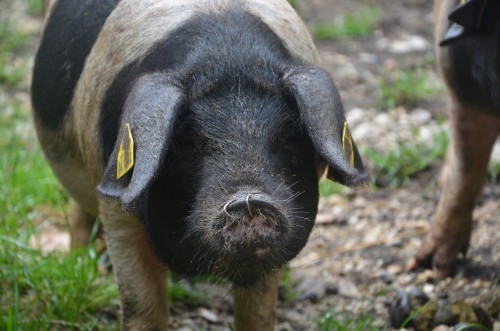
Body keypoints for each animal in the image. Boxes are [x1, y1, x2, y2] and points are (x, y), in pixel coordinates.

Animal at [31, 0, 368, 330]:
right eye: (190, 141)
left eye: (286, 136)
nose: (249, 200)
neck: (229, 59)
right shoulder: (116, 206)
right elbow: (143, 306)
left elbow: (258, 312)